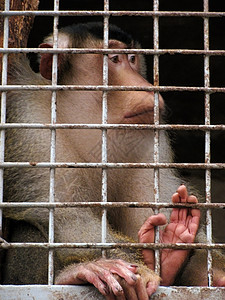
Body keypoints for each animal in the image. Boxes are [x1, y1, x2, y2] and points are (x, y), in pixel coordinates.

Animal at [0, 22, 224, 298]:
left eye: (132, 59)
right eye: (114, 59)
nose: (143, 85)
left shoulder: (148, 142)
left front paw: (176, 251)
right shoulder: (31, 124)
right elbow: (65, 216)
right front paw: (119, 265)